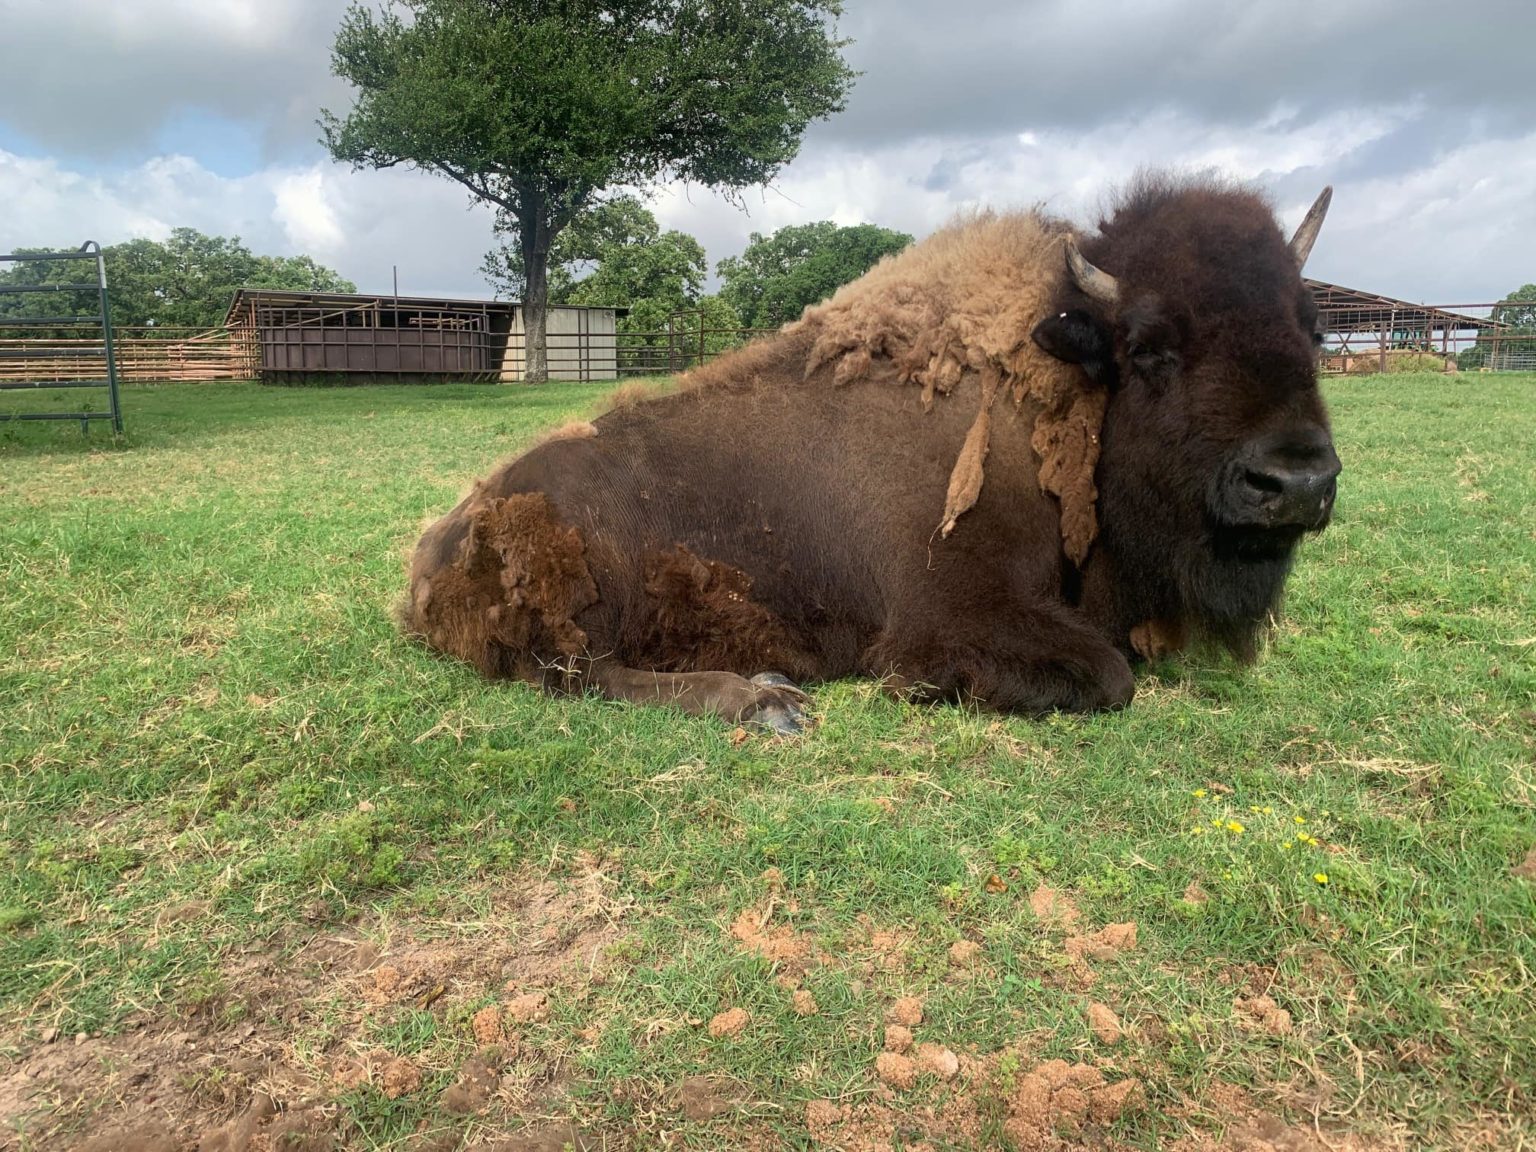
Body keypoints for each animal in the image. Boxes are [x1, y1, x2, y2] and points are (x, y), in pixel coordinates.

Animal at [402, 175, 1339, 734]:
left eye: (1313, 329)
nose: (1294, 482)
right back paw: (766, 701)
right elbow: (1110, 677)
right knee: (582, 677)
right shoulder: (952, 616)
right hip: (582, 597)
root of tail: (434, 551)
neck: (1057, 384)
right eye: (1147, 347)